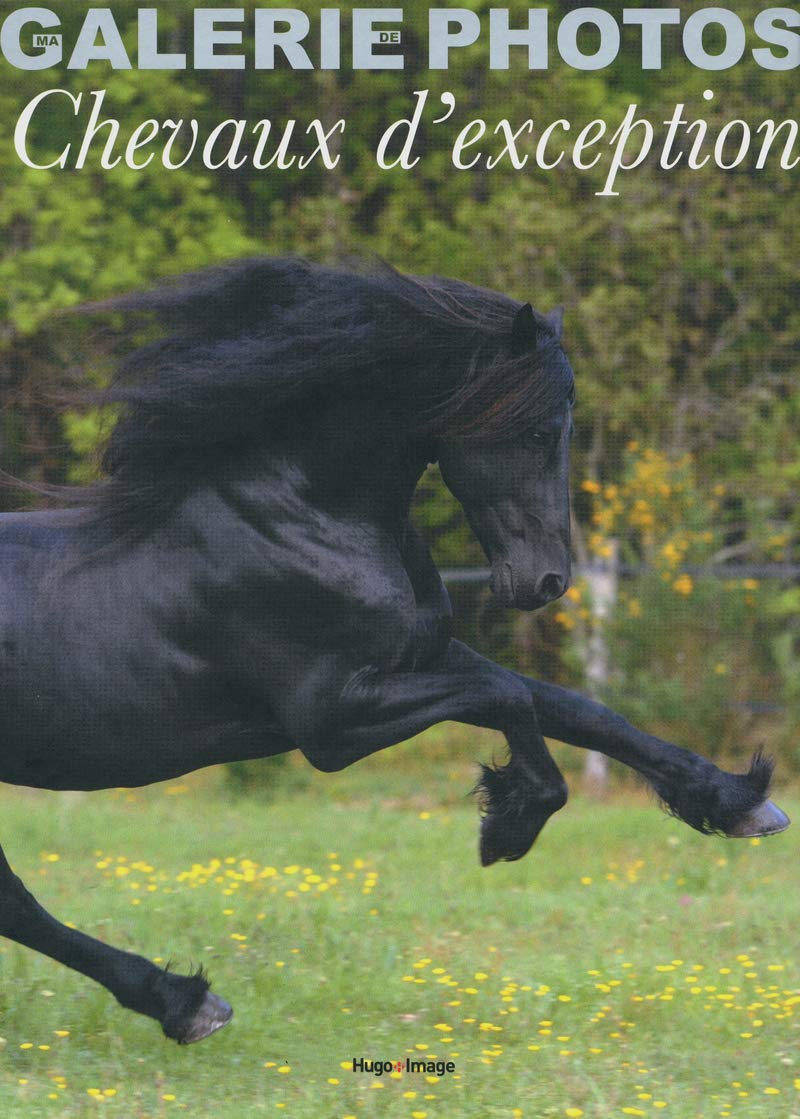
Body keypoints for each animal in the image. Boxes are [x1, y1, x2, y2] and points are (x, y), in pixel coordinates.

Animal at [0, 257, 788, 1044]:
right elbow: (512, 699)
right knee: (17, 904)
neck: (304, 515)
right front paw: (511, 820)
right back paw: (187, 1002)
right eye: (538, 429)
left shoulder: (419, 658)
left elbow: (574, 707)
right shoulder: (331, 723)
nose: (546, 581)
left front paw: (738, 803)